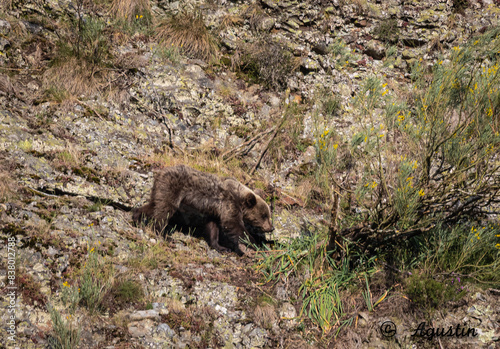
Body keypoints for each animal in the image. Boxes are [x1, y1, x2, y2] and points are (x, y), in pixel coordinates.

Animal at [132, 164, 274, 254]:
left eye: (268, 214)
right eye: (264, 215)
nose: (271, 227)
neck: (239, 196)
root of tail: (160, 173)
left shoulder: (216, 211)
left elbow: (213, 227)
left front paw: (221, 247)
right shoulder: (229, 204)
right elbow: (233, 225)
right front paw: (256, 244)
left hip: (160, 190)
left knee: (154, 205)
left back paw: (136, 218)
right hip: (172, 189)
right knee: (164, 210)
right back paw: (164, 234)